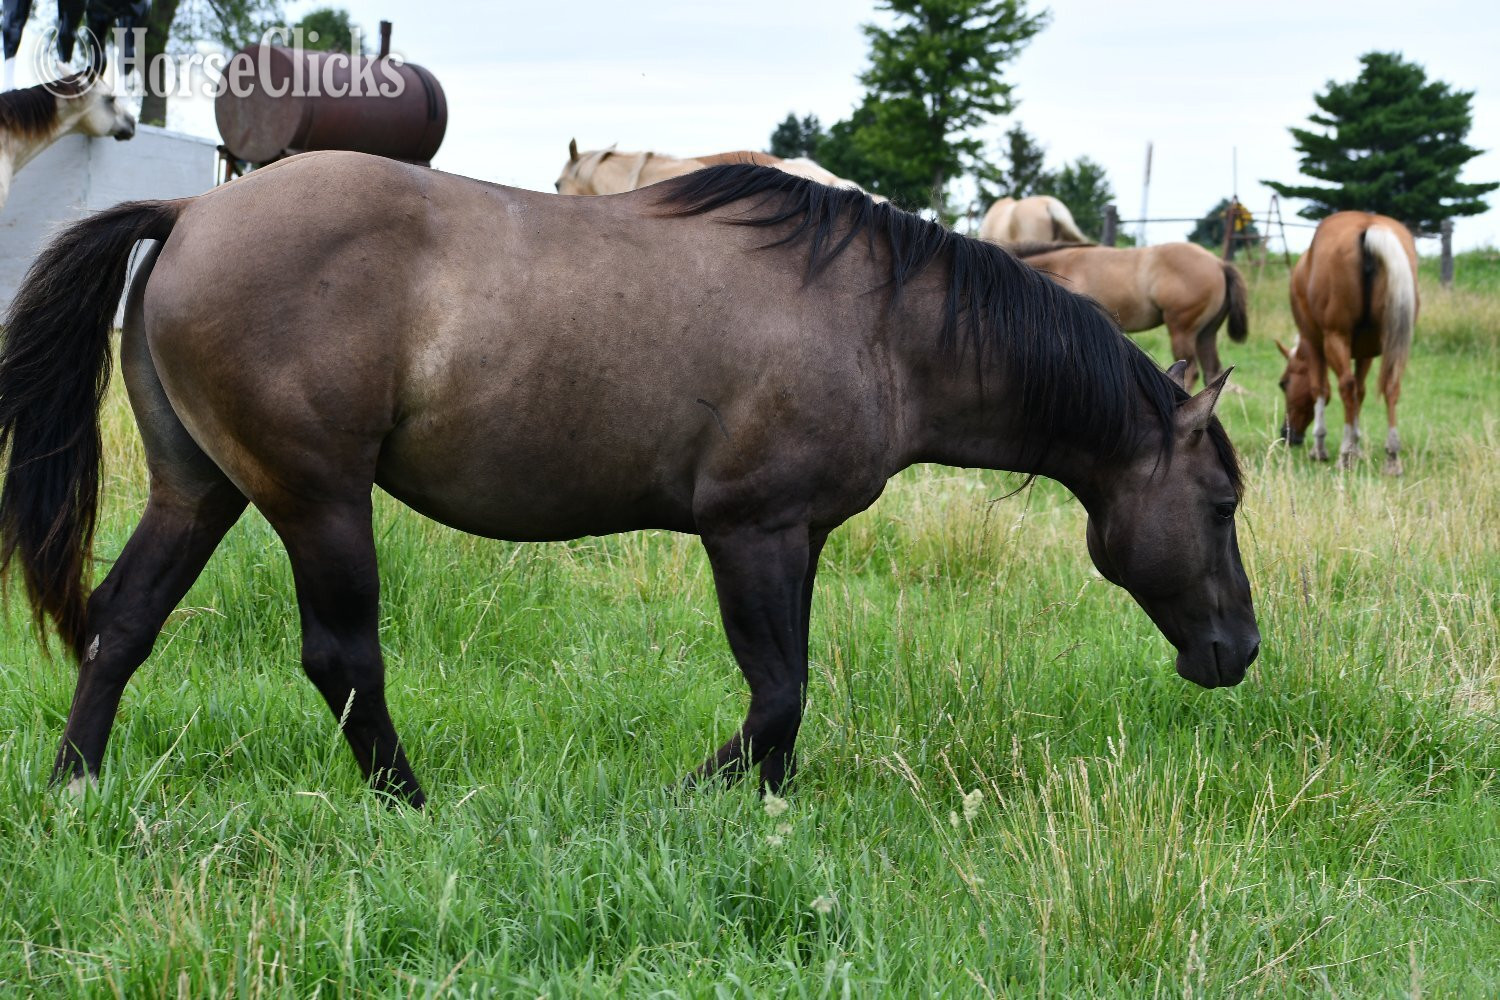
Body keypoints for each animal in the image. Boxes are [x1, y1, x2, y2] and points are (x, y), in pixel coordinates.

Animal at [1010, 241, 1248, 391]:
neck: (1063, 266)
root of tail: (1219, 263)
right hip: (1206, 333)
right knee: (1213, 373)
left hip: (1182, 330)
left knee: (1191, 373)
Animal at [1276, 212, 1417, 475]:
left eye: (1284, 383)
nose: (1287, 435)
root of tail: (1368, 226)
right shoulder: (1366, 352)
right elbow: (1360, 393)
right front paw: (1356, 446)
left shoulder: (1314, 345)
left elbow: (1320, 390)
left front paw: (1322, 447)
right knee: (1390, 386)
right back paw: (1392, 456)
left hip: (1335, 338)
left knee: (1346, 387)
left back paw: (1343, 456)